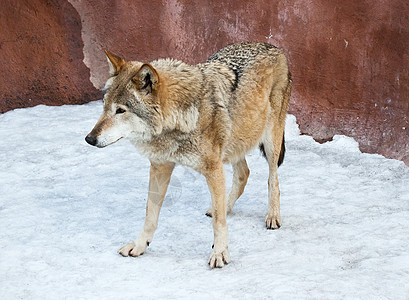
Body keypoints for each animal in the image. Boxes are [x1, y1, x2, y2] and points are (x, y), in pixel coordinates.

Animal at [85, 41, 290, 268]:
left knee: (273, 179)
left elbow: (219, 223)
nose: (89, 139)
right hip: (234, 144)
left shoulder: (213, 169)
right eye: (104, 106)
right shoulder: (160, 167)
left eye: (120, 110)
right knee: (243, 174)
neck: (180, 117)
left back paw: (272, 215)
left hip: (270, 142)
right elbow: (150, 215)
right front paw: (139, 245)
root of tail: (273, 46)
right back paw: (226, 206)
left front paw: (220, 253)